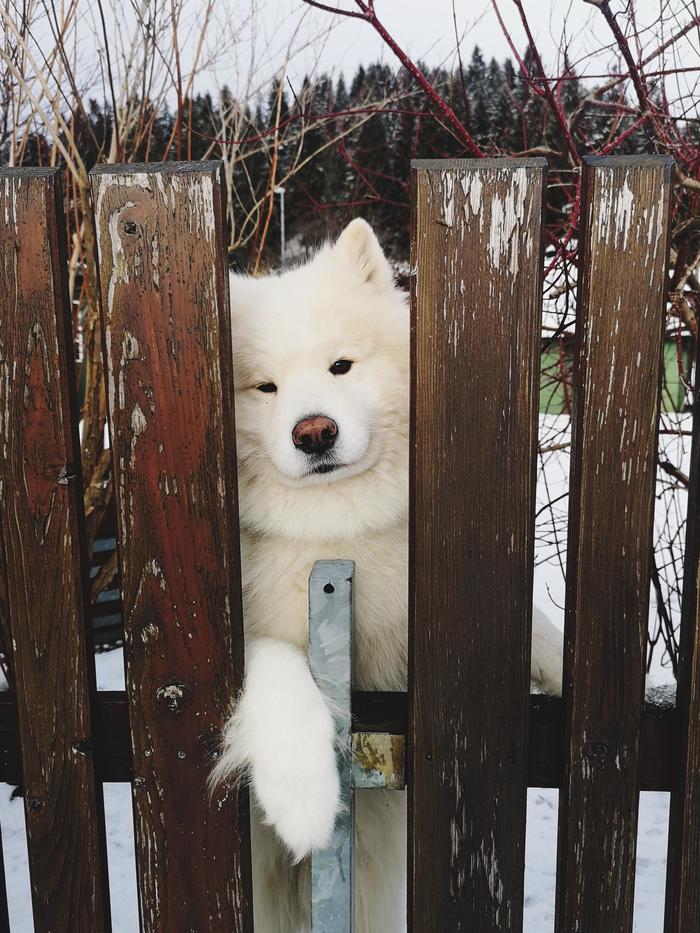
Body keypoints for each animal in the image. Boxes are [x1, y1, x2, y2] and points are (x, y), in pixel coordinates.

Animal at [213, 215, 564, 928]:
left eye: (341, 366)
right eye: (265, 387)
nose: (314, 432)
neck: (334, 533)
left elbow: (538, 629)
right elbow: (277, 665)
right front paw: (302, 795)